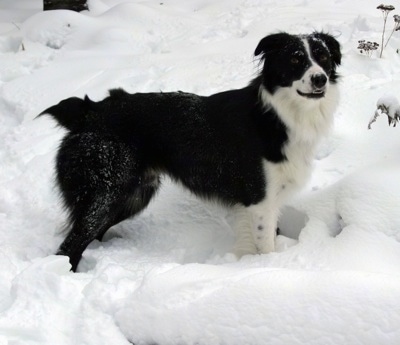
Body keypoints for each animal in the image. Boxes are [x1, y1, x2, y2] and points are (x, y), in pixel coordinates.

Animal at [40, 32, 340, 270]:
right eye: (295, 60)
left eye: (324, 57)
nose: (320, 79)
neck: (277, 114)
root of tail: (89, 112)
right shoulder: (260, 198)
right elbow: (266, 246)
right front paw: (267, 270)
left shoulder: (266, 200)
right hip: (106, 193)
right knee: (70, 246)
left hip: (134, 194)